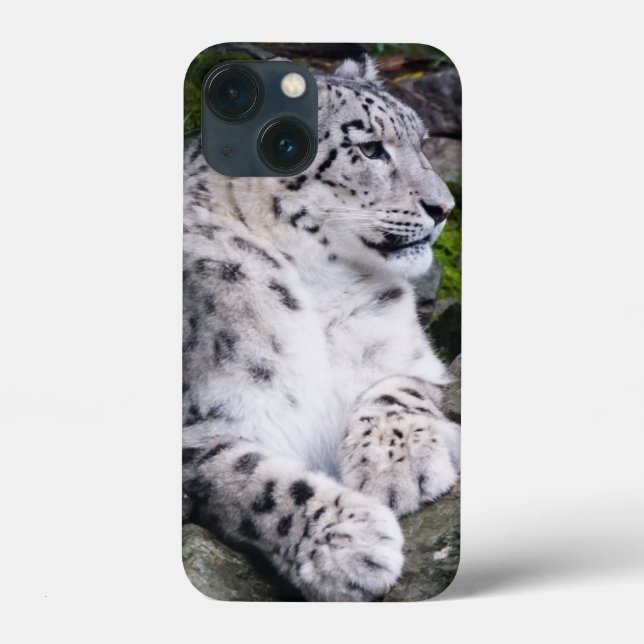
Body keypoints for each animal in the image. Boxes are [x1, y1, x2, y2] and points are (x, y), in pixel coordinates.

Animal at [183, 55, 460, 601]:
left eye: (422, 141)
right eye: (370, 147)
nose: (444, 208)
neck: (321, 292)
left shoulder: (416, 361)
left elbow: (400, 389)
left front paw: (398, 465)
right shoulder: (198, 429)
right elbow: (252, 481)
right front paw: (349, 542)